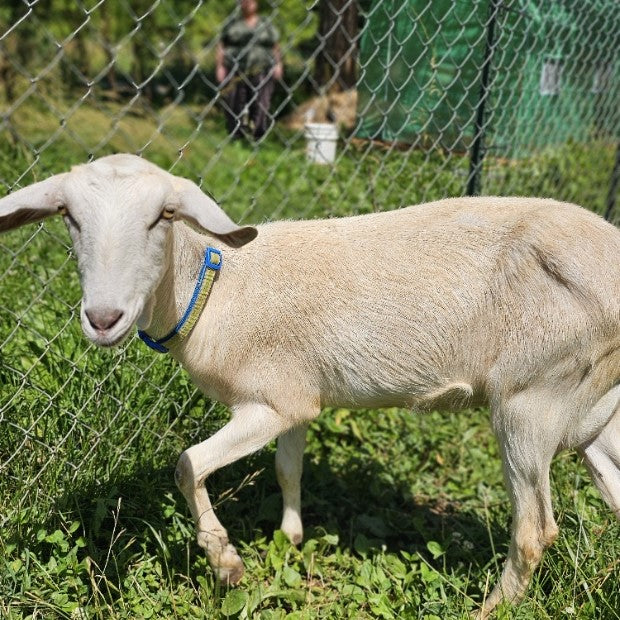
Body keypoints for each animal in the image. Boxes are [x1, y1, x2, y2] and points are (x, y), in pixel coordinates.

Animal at [0, 154, 616, 616]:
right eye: (69, 216)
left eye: (162, 216)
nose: (103, 318)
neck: (217, 289)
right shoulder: (296, 395)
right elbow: (286, 468)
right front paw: (291, 539)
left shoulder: (269, 400)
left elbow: (187, 465)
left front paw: (227, 565)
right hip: (593, 414)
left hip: (531, 399)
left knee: (535, 529)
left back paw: (488, 609)